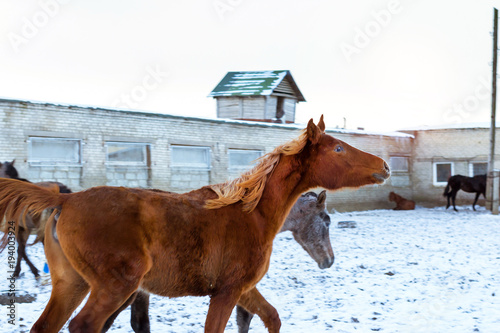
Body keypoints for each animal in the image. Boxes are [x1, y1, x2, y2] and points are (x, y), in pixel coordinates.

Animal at [0, 115, 390, 330]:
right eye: (338, 149)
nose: (384, 166)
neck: (252, 214)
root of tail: (65, 199)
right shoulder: (227, 291)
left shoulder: (243, 289)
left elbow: (271, 317)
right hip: (115, 286)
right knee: (84, 326)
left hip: (72, 284)